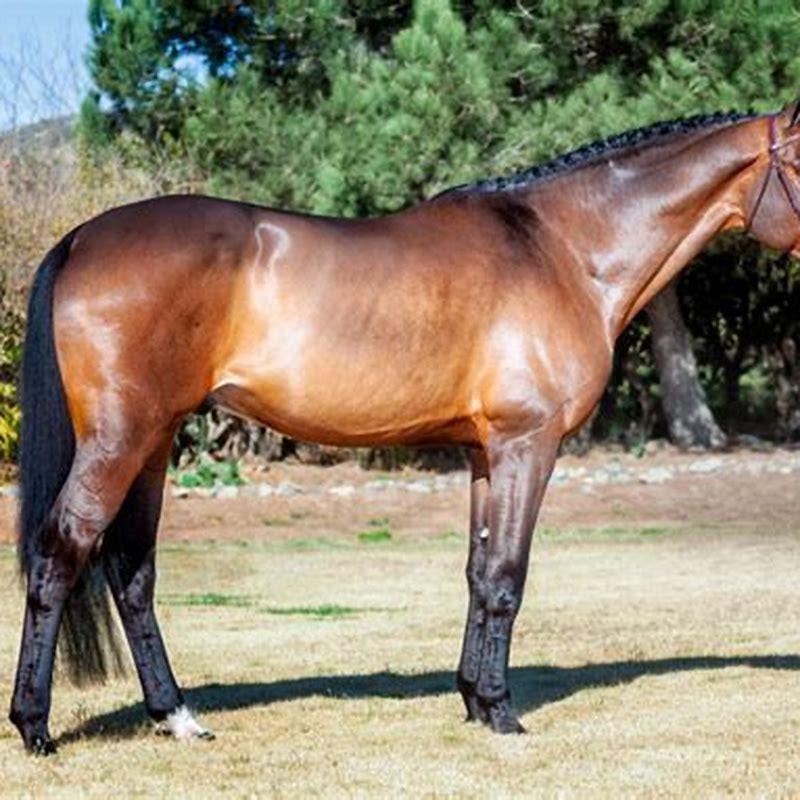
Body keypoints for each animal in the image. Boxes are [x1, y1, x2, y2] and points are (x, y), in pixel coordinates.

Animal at [9, 100, 800, 755]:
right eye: (799, 162)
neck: (561, 250)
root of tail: (81, 238)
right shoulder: (528, 445)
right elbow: (508, 576)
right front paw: (504, 714)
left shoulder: (486, 453)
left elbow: (479, 574)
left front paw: (475, 701)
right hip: (121, 437)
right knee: (62, 552)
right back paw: (35, 727)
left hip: (154, 440)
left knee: (130, 569)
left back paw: (177, 717)